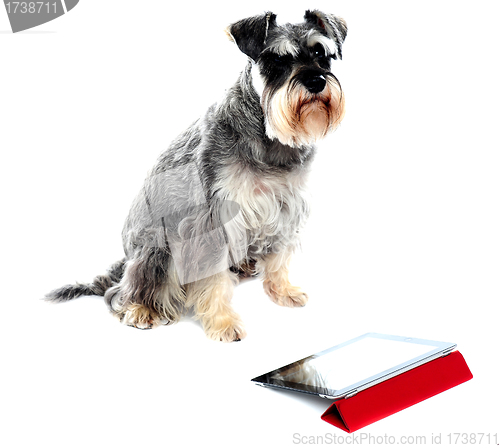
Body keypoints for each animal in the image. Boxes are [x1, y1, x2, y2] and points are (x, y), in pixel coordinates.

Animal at [45, 10, 346, 342]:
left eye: (321, 54)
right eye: (276, 60)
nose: (316, 81)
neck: (268, 137)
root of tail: (126, 257)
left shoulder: (286, 206)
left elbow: (279, 257)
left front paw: (283, 290)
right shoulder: (213, 221)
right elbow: (213, 277)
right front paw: (223, 322)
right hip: (157, 248)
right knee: (125, 289)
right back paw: (141, 309)